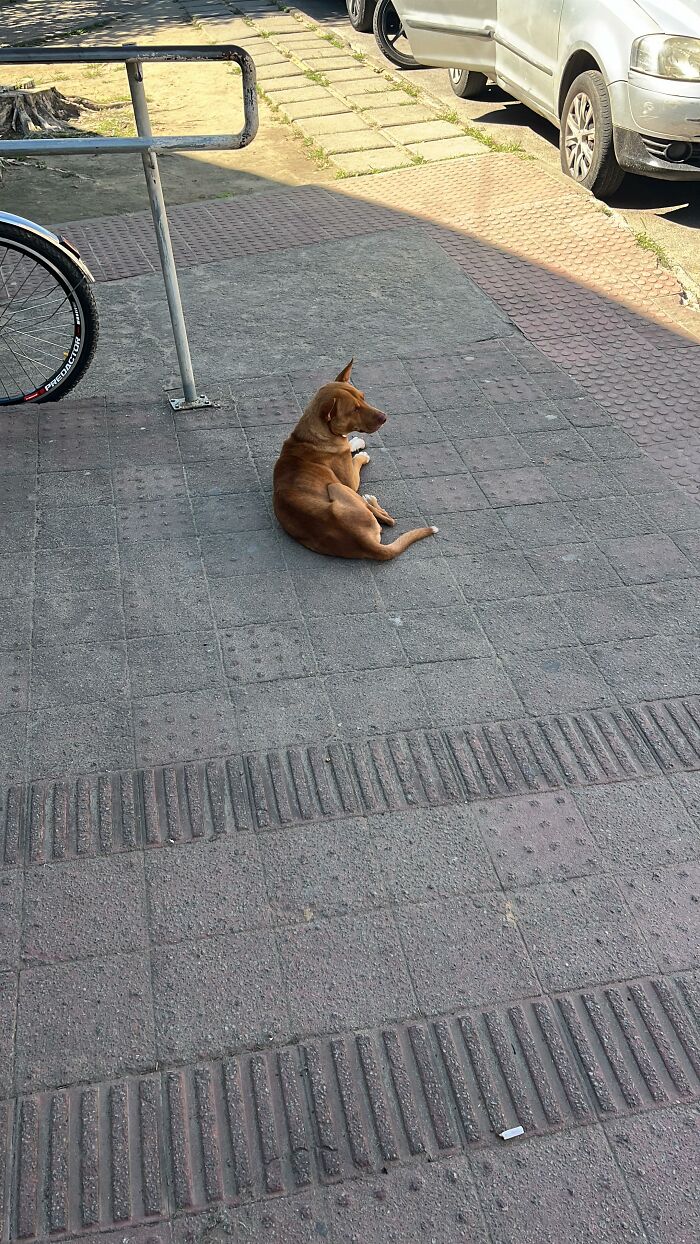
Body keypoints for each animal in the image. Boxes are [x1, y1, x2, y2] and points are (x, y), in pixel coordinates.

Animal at [273, 363, 437, 562]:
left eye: (363, 397)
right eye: (354, 410)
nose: (384, 417)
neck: (312, 436)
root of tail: (366, 544)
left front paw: (355, 442)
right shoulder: (350, 481)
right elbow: (354, 459)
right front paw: (360, 452)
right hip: (337, 486)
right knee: (388, 520)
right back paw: (370, 499)